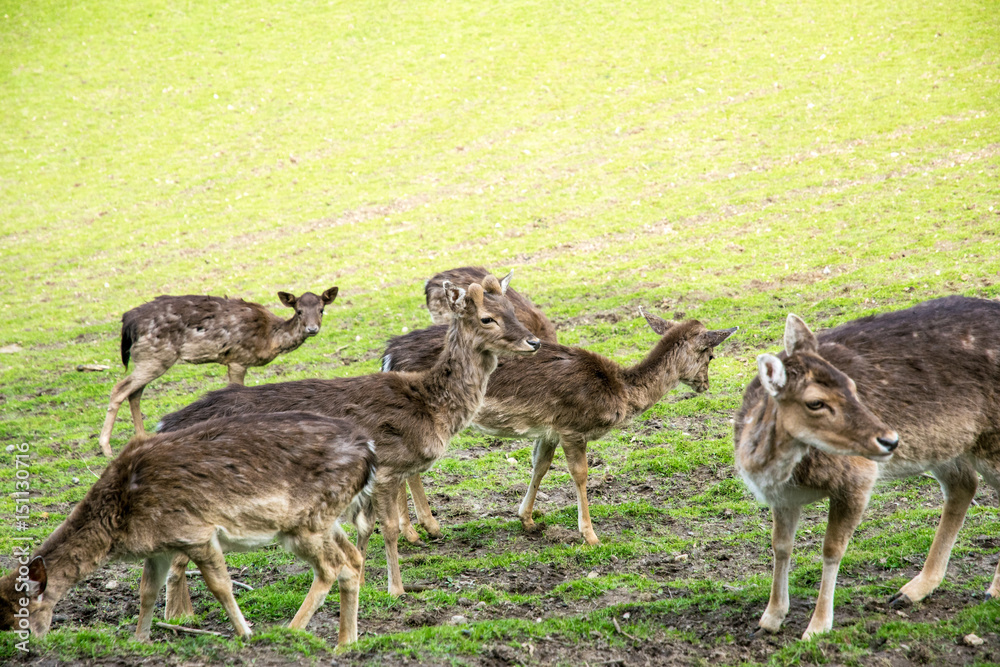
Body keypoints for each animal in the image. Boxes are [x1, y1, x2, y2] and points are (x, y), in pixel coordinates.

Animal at [0, 412, 376, 648]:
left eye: (21, 616)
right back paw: (346, 642)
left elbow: (220, 586)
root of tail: (369, 452)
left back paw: (291, 631)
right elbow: (147, 591)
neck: (121, 519)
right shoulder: (160, 546)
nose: (30, 649)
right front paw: (140, 640)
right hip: (327, 520)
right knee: (352, 559)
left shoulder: (195, 531)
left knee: (331, 565)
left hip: (306, 522)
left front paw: (246, 634)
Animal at [98, 288, 340, 460]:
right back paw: (106, 448)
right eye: (299, 311)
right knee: (119, 388)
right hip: (154, 356)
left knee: (134, 393)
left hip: (148, 358)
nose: (312, 329)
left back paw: (142, 437)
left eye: (321, 309)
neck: (270, 338)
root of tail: (128, 322)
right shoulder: (238, 359)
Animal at [157, 274, 544, 596]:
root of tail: (165, 424)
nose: (534, 341)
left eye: (511, 309)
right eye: (487, 318)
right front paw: (396, 589)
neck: (430, 406)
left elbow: (365, 528)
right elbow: (389, 528)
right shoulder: (387, 467)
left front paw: (361, 579)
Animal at [386, 306, 740, 544]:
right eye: (711, 356)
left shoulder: (549, 429)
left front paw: (527, 519)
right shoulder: (573, 426)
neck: (620, 392)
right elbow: (580, 474)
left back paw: (414, 529)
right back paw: (422, 529)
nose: (705, 385)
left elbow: (540, 466)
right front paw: (590, 535)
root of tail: (389, 355)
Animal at [732, 298, 1000, 640]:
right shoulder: (783, 498)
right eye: (815, 402)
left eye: (852, 385)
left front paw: (817, 627)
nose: (890, 439)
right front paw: (770, 618)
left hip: (991, 439)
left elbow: (832, 549)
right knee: (964, 485)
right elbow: (780, 546)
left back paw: (992, 591)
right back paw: (912, 590)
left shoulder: (857, 477)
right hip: (945, 447)